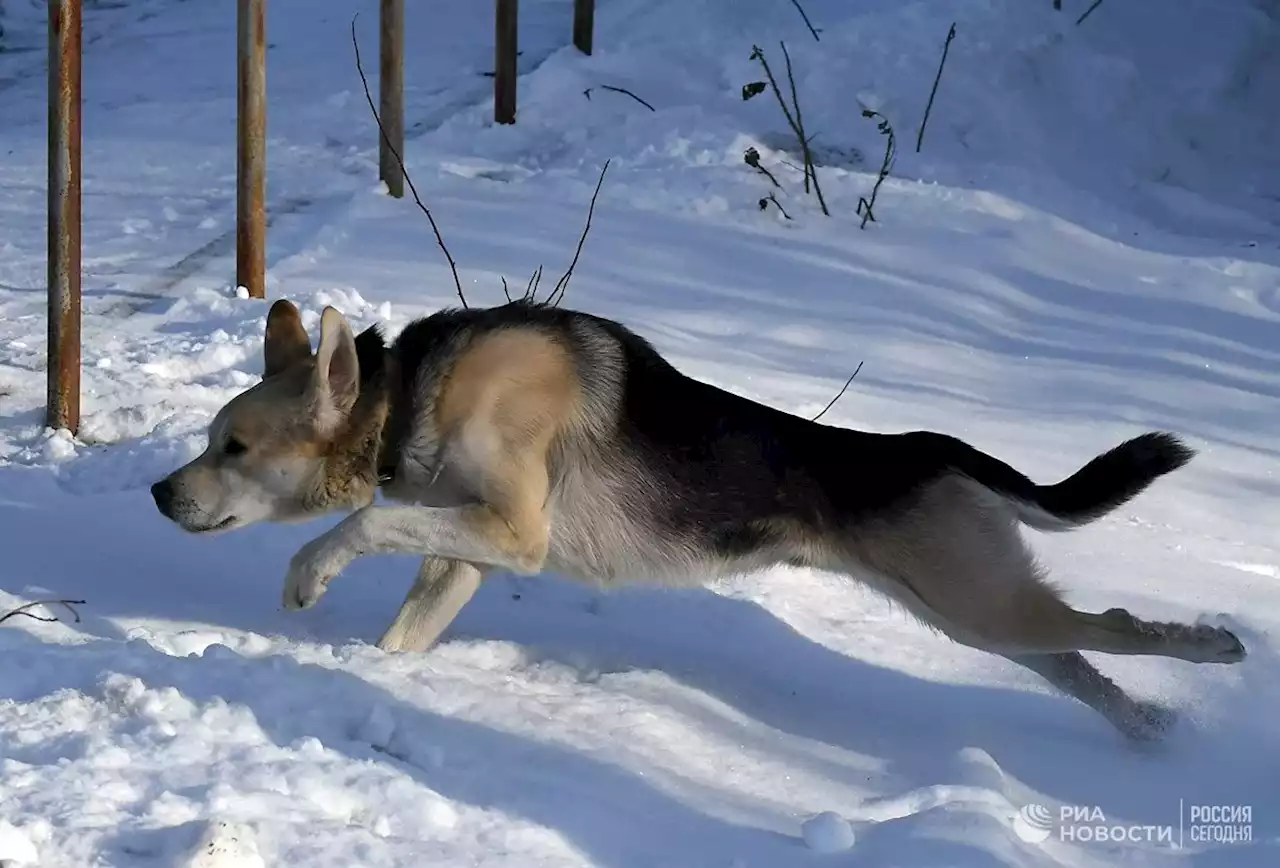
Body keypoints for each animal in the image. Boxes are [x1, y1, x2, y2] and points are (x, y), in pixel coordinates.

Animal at [147, 299, 1239, 742]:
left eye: (233, 447)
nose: (159, 494)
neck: (414, 389)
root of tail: (938, 448)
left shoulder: (511, 535)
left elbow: (361, 527)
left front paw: (307, 573)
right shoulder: (465, 552)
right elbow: (405, 620)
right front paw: (378, 679)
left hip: (984, 608)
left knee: (1118, 628)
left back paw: (1212, 646)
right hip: (987, 612)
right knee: (1085, 661)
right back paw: (1152, 732)